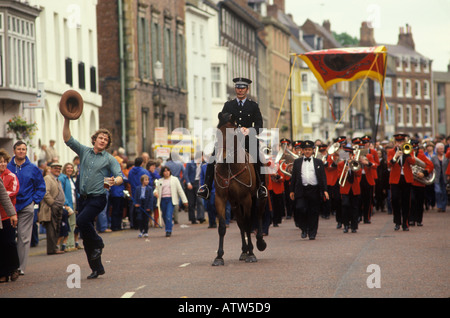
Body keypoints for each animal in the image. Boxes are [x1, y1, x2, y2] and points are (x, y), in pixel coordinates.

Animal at [212, 112, 268, 266]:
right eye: (218, 133)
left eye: (233, 133)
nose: (224, 157)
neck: (230, 166)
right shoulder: (221, 198)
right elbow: (222, 227)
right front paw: (219, 256)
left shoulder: (246, 199)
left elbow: (249, 224)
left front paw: (252, 254)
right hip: (235, 204)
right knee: (241, 223)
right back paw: (244, 250)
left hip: (259, 198)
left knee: (258, 216)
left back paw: (260, 243)